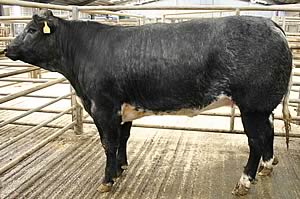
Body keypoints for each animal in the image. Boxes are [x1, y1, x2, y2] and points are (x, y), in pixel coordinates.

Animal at [4, 10, 292, 196]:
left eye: (31, 30)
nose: (7, 48)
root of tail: (269, 23)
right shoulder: (123, 109)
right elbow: (122, 138)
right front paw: (120, 169)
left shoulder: (103, 107)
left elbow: (108, 143)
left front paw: (107, 180)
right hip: (264, 107)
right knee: (269, 133)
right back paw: (267, 167)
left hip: (252, 106)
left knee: (256, 140)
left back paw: (244, 182)